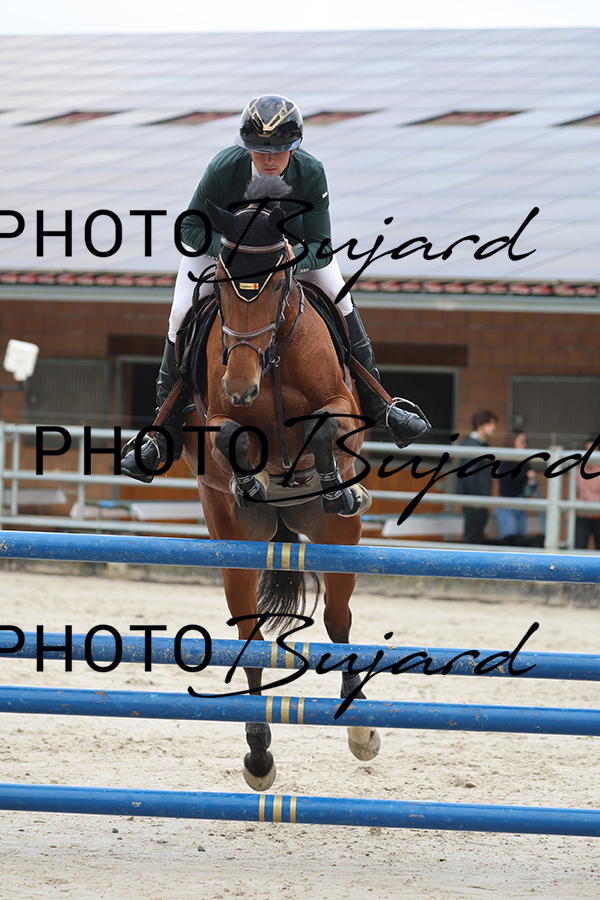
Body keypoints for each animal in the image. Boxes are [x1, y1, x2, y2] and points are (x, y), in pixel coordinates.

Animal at [180, 179, 379, 791]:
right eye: (221, 289)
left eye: (275, 283)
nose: (240, 385)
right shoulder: (214, 416)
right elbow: (230, 436)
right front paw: (251, 477)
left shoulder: (339, 404)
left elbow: (327, 425)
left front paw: (335, 481)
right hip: (237, 546)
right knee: (249, 637)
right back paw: (258, 753)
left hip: (338, 539)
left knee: (338, 622)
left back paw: (361, 731)